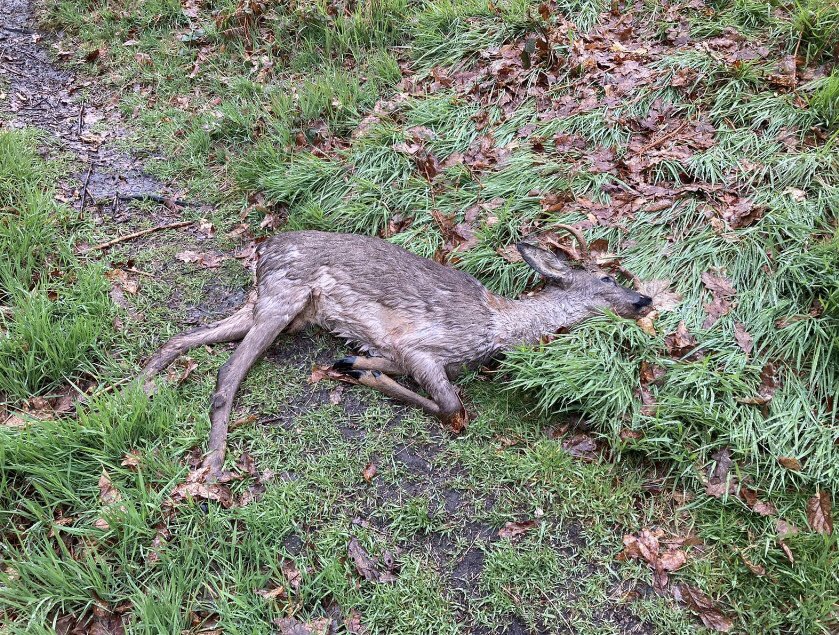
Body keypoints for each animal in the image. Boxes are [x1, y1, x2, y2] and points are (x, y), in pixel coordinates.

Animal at [138, 227, 652, 479]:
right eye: (607, 277)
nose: (645, 300)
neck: (499, 326)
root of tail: (262, 250)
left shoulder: (409, 350)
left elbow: (387, 363)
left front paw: (354, 365)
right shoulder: (426, 345)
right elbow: (452, 407)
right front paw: (366, 375)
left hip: (278, 306)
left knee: (181, 338)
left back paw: (143, 383)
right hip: (283, 297)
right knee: (228, 371)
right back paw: (214, 465)